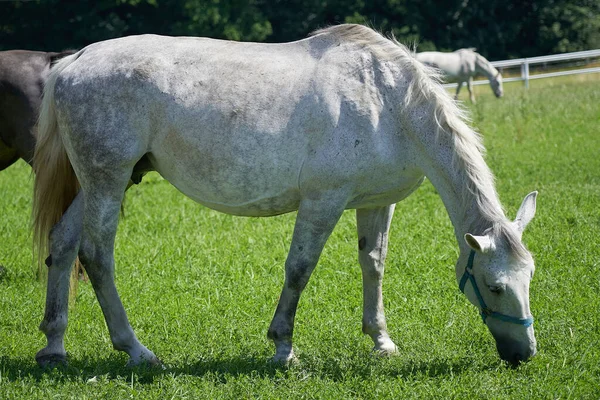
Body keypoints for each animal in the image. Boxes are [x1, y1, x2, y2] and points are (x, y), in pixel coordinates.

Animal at [31, 25, 540, 368]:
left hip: (102, 182)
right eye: (494, 286)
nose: (523, 353)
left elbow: (373, 264)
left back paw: (54, 345)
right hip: (108, 179)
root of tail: (74, 60)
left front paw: (381, 341)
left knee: (63, 244)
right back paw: (135, 350)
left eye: (530, 279)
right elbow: (299, 269)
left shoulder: (377, 202)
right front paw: (283, 347)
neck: (387, 101)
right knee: (97, 255)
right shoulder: (323, 200)